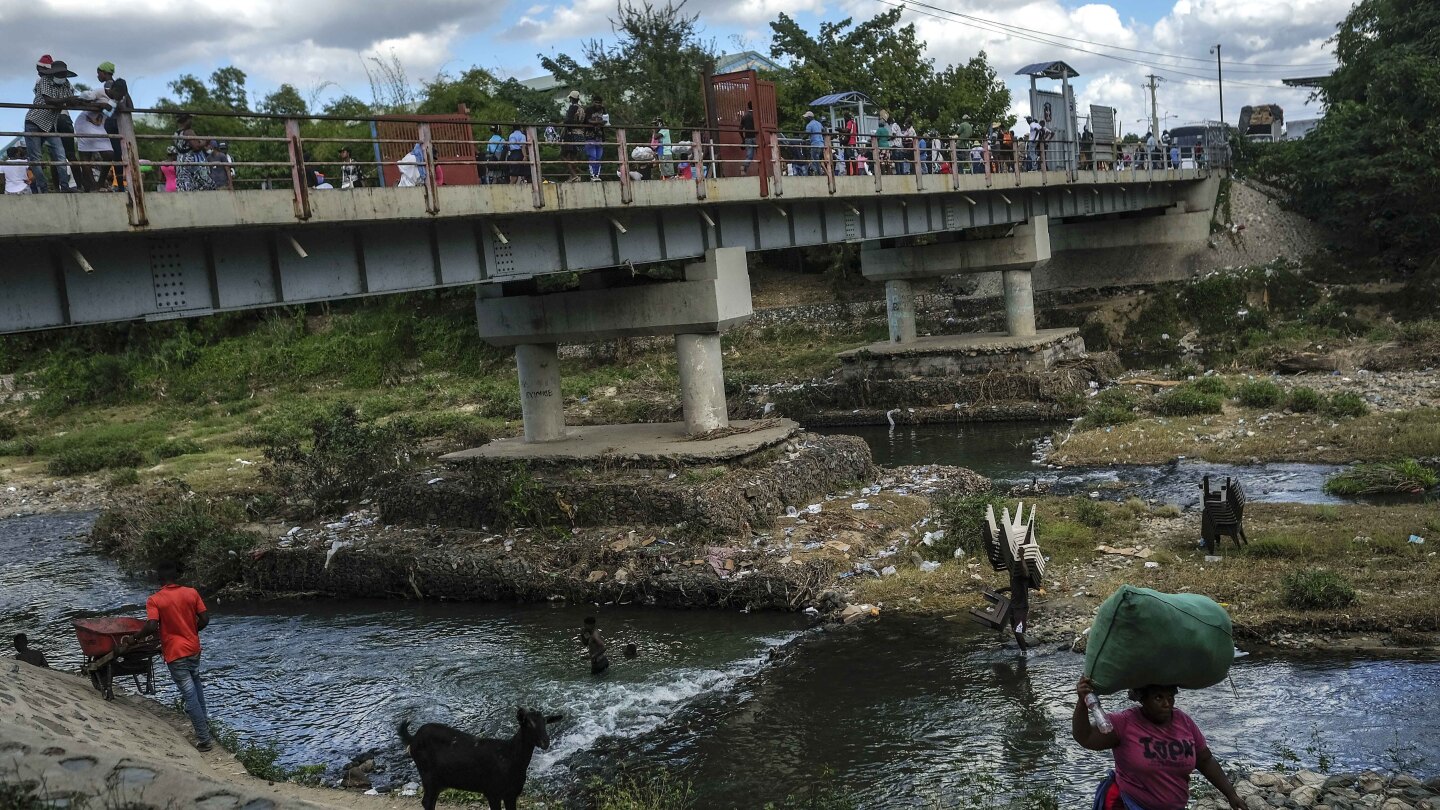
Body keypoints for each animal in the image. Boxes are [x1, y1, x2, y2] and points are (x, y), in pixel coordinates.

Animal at [403, 706, 564, 807]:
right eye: (528, 723)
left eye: (546, 722)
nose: (545, 742)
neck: (510, 756)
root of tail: (413, 739)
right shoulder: (492, 792)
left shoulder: (512, 794)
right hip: (427, 775)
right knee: (427, 802)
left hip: (439, 781)